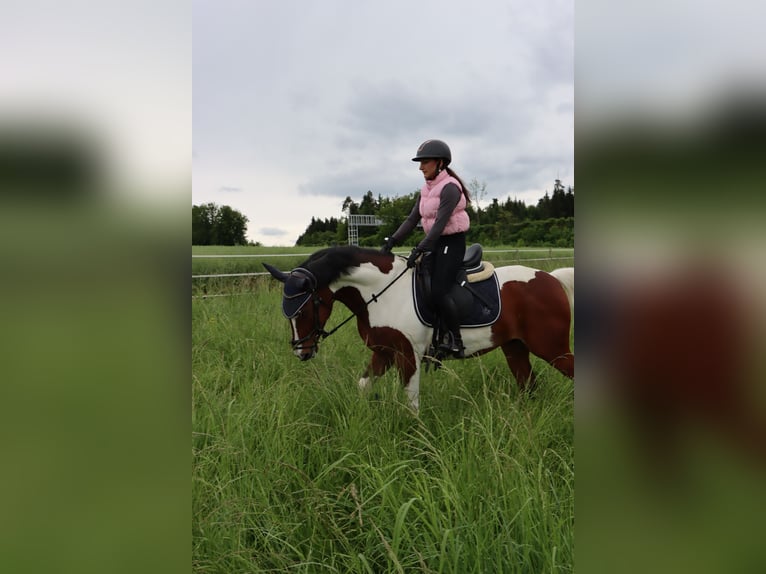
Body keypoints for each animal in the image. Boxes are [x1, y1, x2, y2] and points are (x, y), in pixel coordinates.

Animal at [268, 245, 572, 412]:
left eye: (303, 310)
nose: (302, 352)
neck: (381, 292)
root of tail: (551, 279)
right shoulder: (384, 352)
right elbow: (363, 385)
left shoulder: (407, 354)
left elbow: (411, 401)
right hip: (515, 348)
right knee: (529, 386)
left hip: (551, 349)